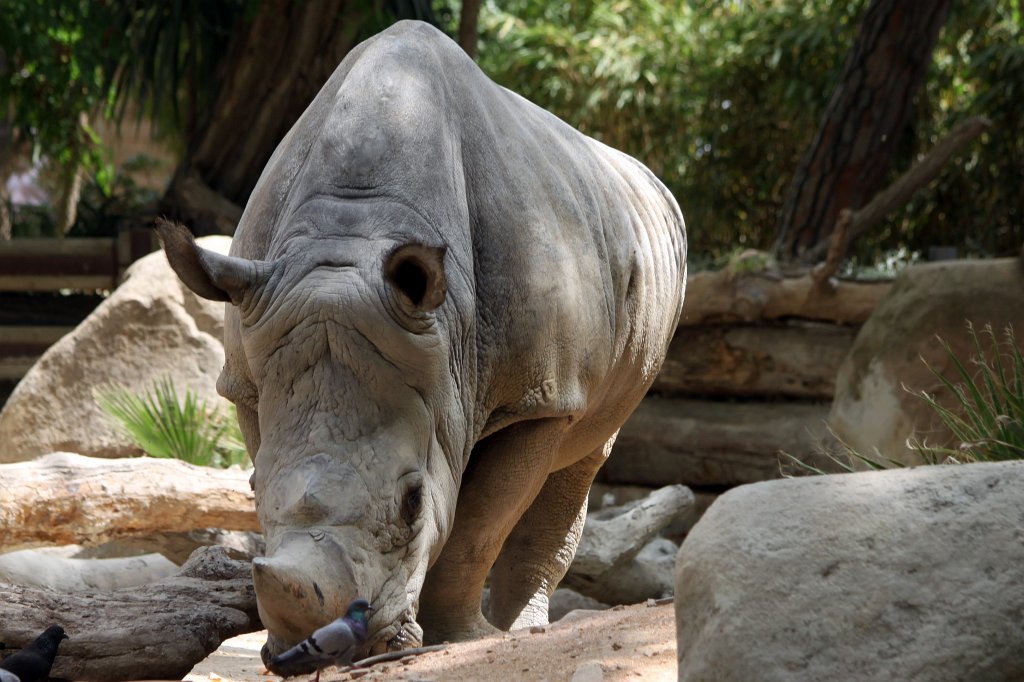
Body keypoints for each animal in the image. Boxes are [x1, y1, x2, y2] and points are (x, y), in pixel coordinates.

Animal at [157, 20, 686, 666]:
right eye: (251, 490)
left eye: (412, 501)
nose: (334, 647)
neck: (350, 238)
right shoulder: (248, 377)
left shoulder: (534, 395)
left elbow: (478, 523)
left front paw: (463, 638)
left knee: (584, 450)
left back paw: (523, 631)